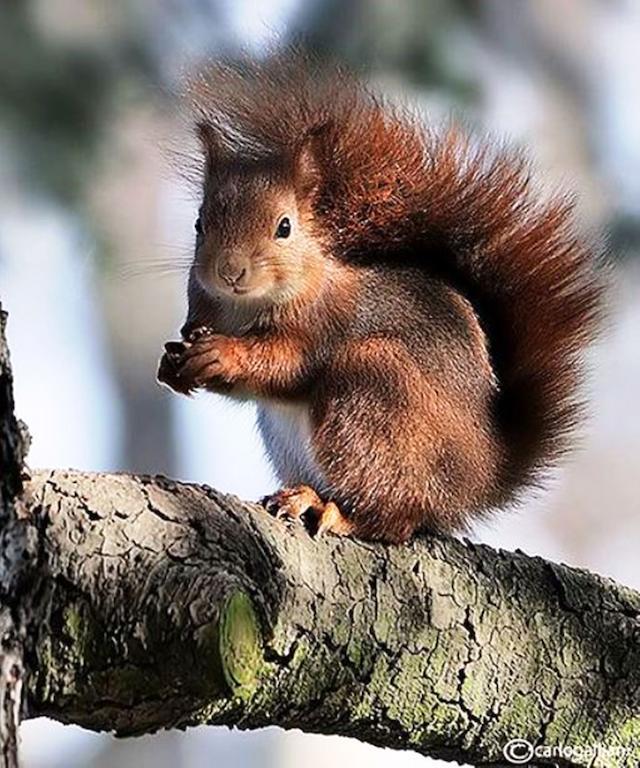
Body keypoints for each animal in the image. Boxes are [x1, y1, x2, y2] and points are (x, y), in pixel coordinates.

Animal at [158, 54, 608, 544]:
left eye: (284, 227)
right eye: (200, 223)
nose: (230, 270)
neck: (245, 307)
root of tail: (482, 476)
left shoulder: (326, 325)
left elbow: (286, 365)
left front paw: (221, 354)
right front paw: (172, 363)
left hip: (373, 391)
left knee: (395, 515)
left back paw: (335, 511)